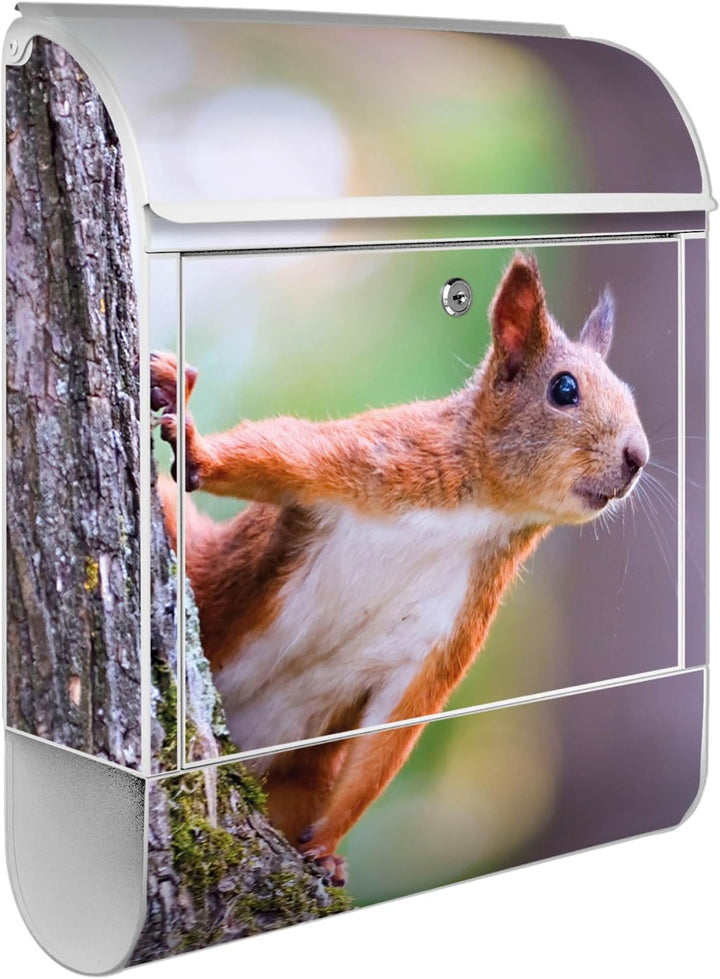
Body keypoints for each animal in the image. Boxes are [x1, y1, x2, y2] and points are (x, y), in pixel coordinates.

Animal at [150, 252, 649, 886]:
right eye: (565, 389)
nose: (638, 458)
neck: (483, 512)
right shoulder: (377, 458)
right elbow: (280, 452)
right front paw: (196, 448)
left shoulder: (452, 625)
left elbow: (394, 730)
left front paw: (326, 847)